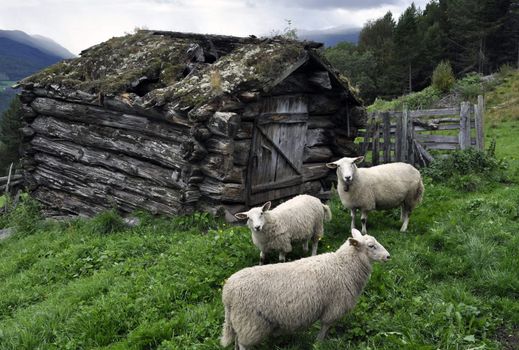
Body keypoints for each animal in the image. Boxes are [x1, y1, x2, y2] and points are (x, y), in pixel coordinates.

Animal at [219, 228, 390, 348]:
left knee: (236, 340)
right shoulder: (334, 307)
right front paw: (319, 343)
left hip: (239, 321)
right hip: (250, 322)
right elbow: (325, 326)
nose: (388, 256)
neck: (343, 266)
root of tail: (227, 293)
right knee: (243, 344)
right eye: (371, 246)